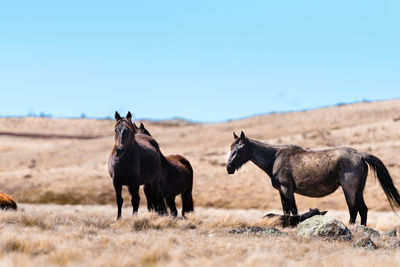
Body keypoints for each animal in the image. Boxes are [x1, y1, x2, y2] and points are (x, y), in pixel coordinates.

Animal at [227, 132, 400, 226]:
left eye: (240, 148)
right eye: (231, 147)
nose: (228, 167)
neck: (275, 158)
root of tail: (360, 155)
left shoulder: (287, 188)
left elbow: (293, 210)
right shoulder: (281, 191)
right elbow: (286, 210)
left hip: (349, 190)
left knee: (353, 210)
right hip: (358, 190)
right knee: (363, 209)